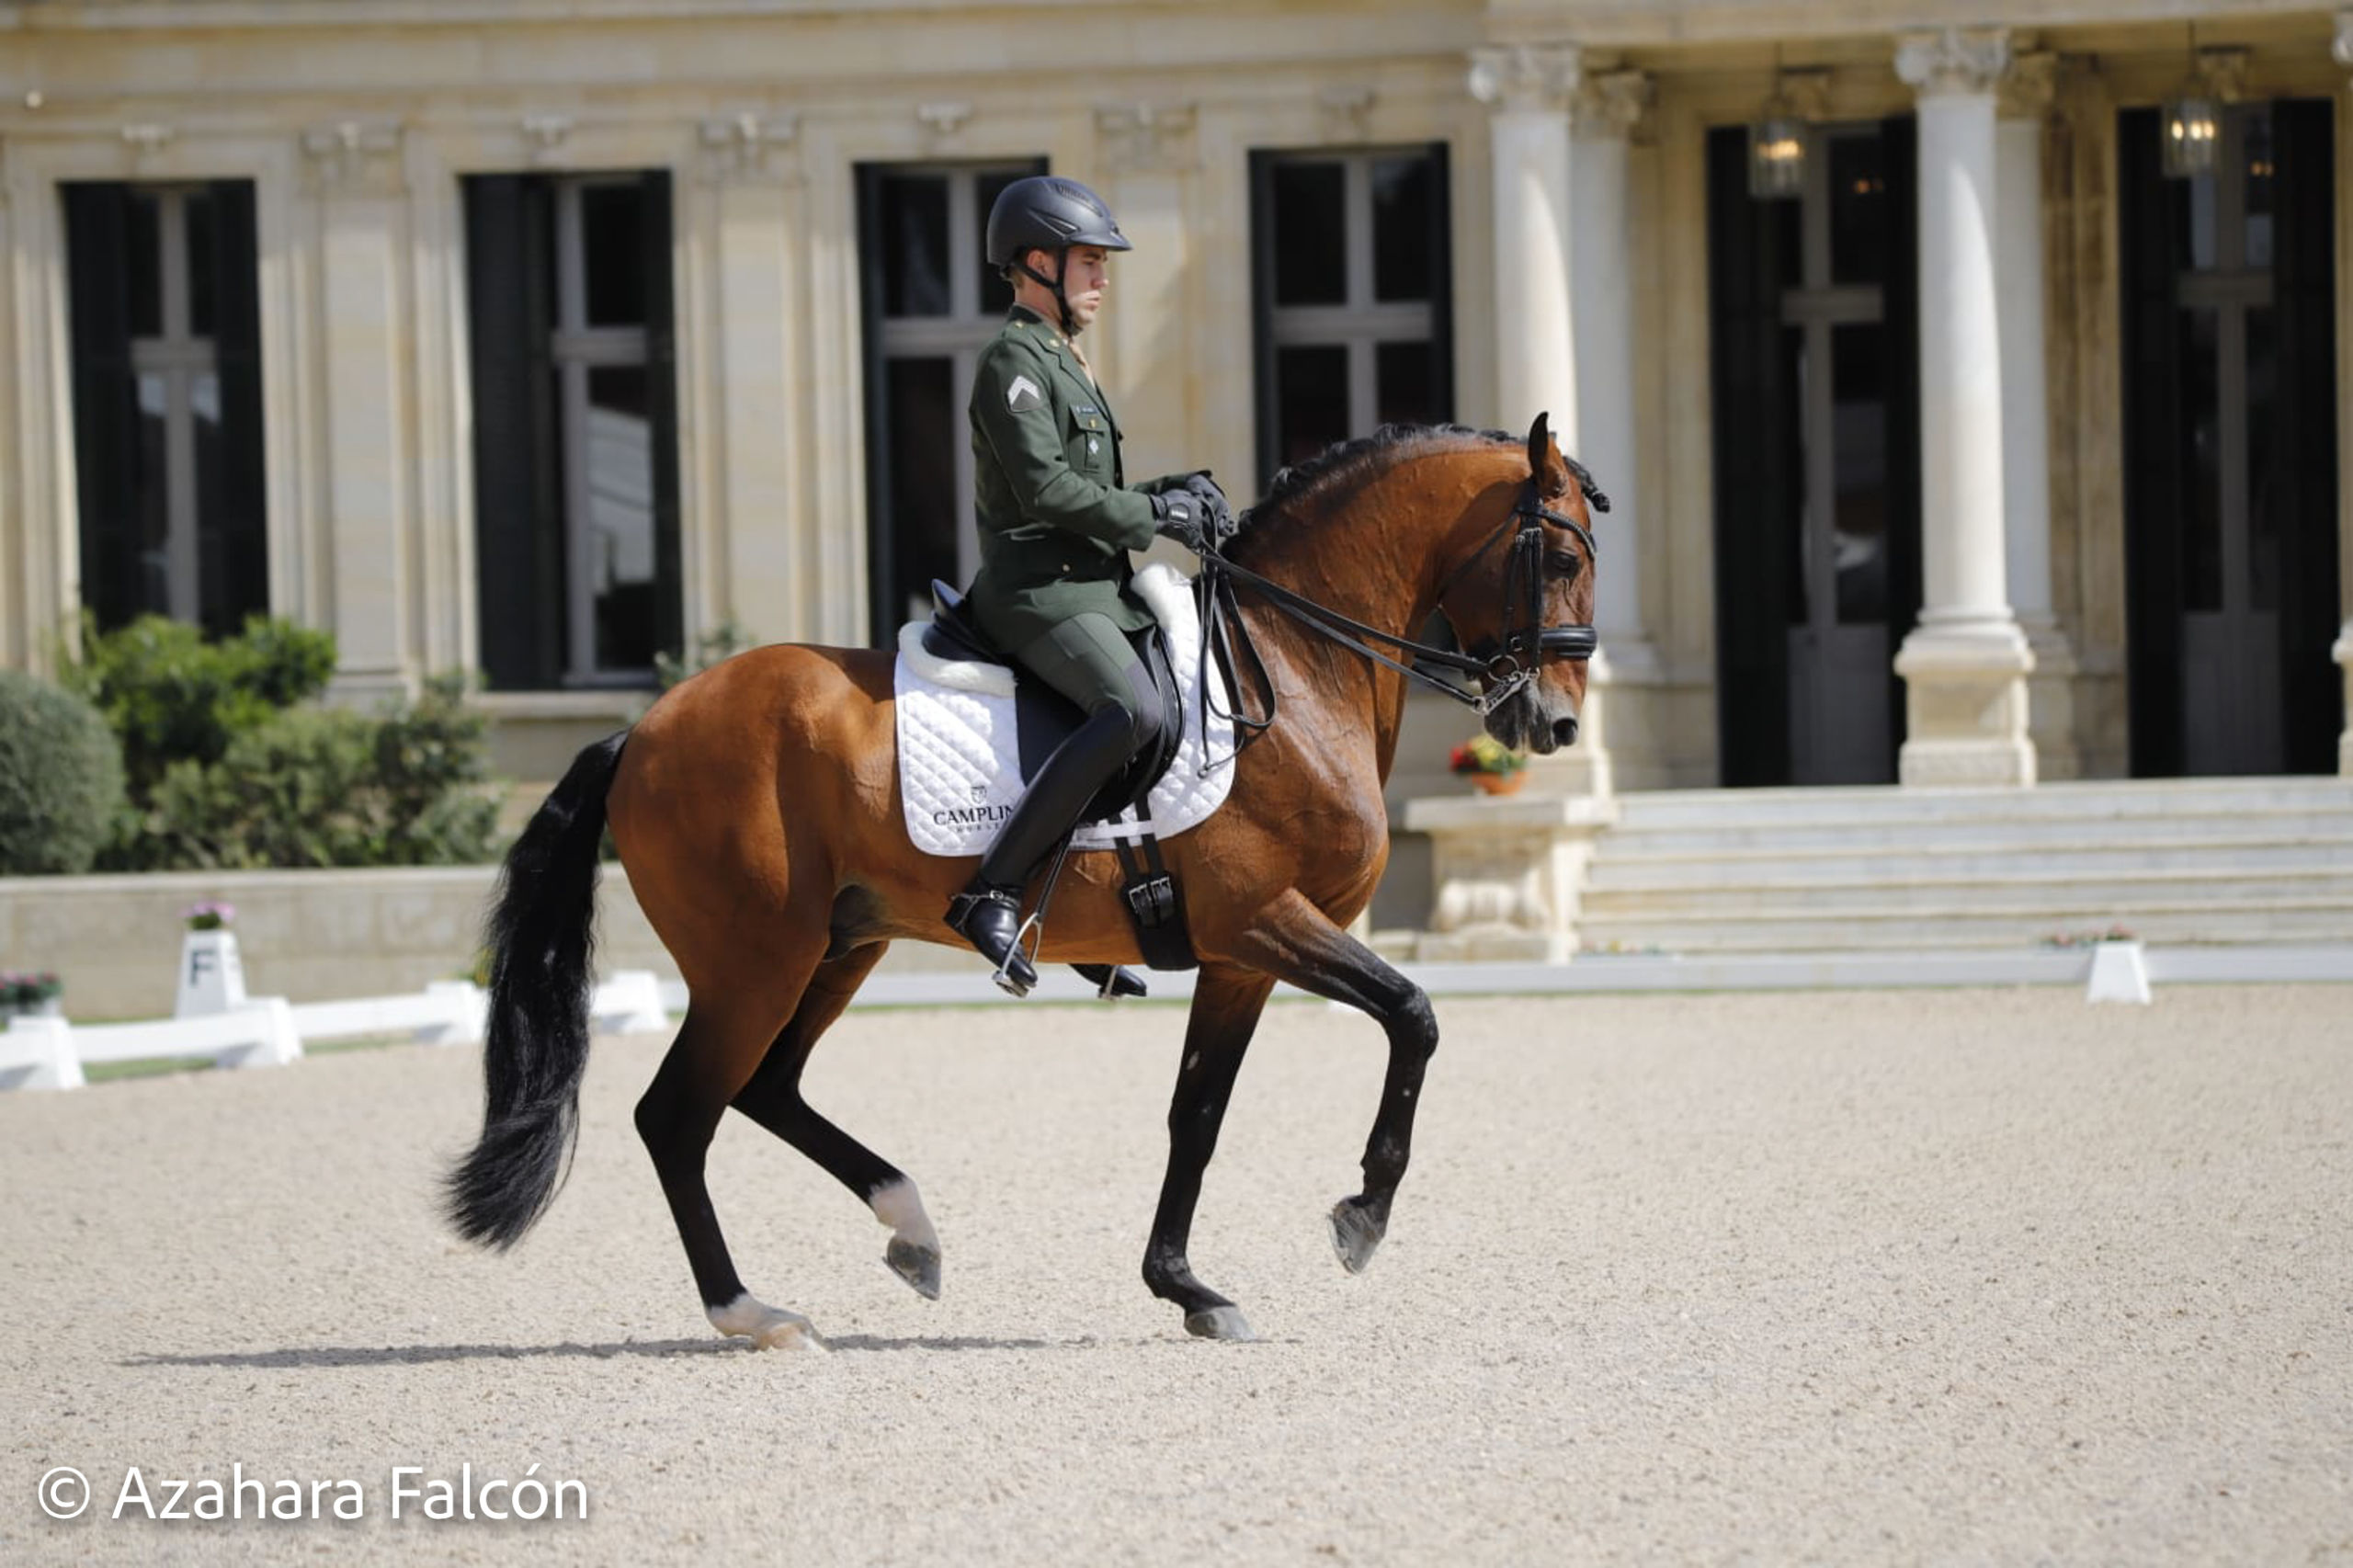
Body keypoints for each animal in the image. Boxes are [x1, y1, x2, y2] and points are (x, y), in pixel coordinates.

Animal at [444, 412, 1599, 1346]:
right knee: (679, 1115)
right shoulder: (1265, 921)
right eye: (1557, 555)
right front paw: (1360, 1216)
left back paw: (910, 1229)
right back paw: (753, 1312)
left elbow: (1197, 1114)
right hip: (753, 962)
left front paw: (1185, 1286)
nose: (1554, 725)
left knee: (767, 1087)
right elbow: (1413, 1014)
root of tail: (643, 729)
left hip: (839, 944)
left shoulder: (1238, 958)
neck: (1289, 665)